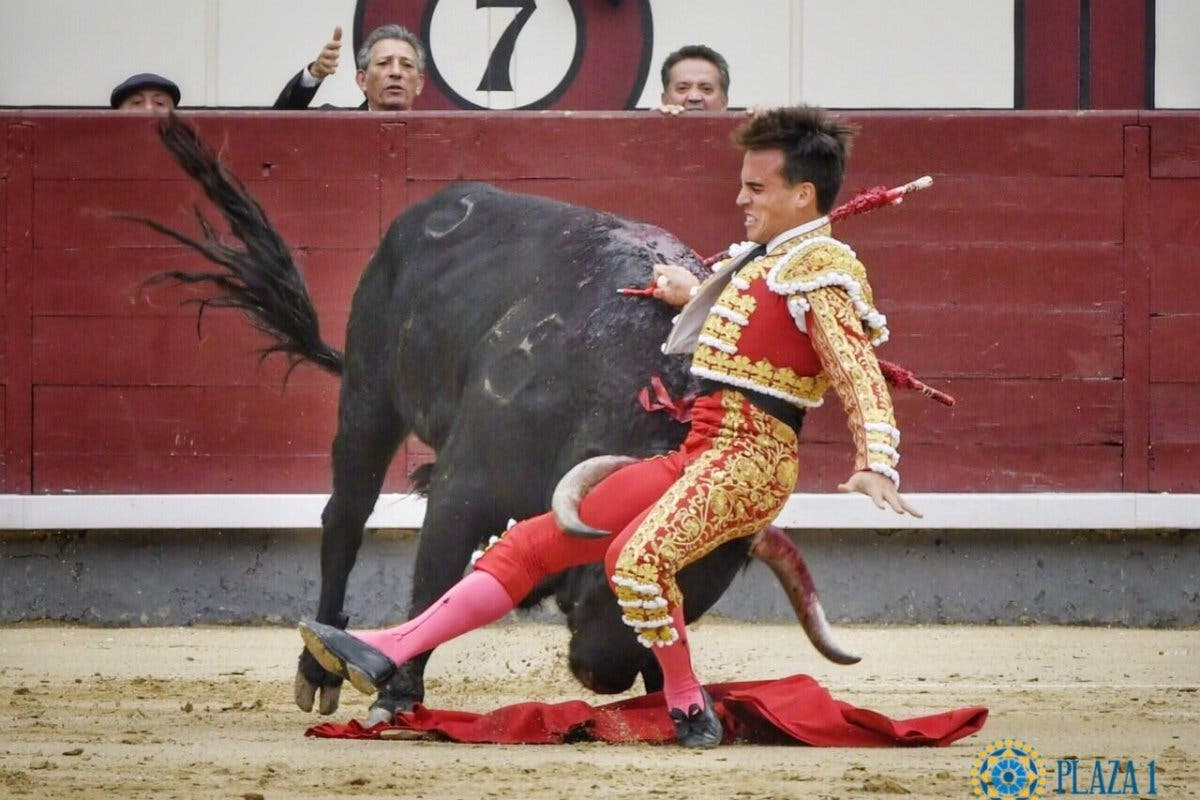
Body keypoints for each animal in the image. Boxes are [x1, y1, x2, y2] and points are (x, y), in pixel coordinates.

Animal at [136, 115, 854, 724]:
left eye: (694, 601)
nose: (604, 675)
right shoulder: (465, 488)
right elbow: (434, 580)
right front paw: (396, 697)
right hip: (369, 397)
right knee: (344, 518)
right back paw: (320, 672)